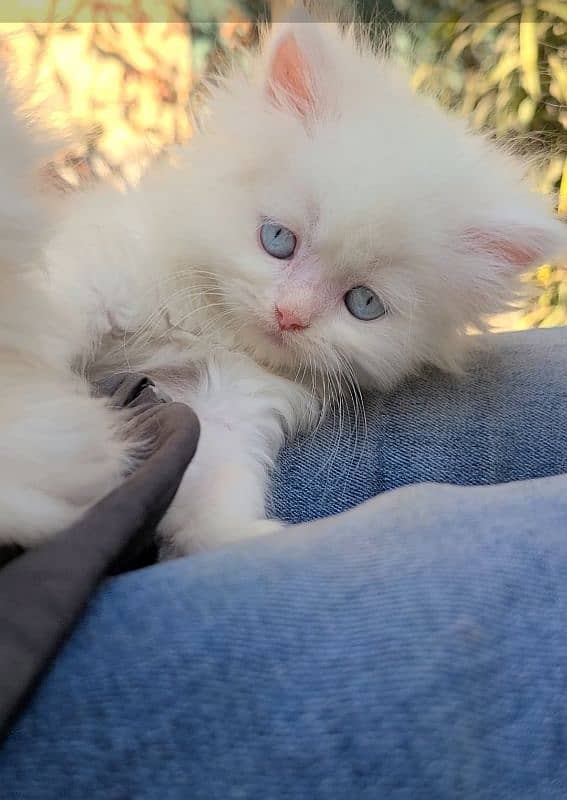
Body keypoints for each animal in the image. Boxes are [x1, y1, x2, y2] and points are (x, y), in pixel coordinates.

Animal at [1, 18, 567, 556]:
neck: (208, 328)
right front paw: (40, 472)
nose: (289, 315)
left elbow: (211, 475)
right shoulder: (96, 271)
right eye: (278, 240)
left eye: (363, 303)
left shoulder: (230, 400)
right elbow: (33, 355)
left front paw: (241, 537)